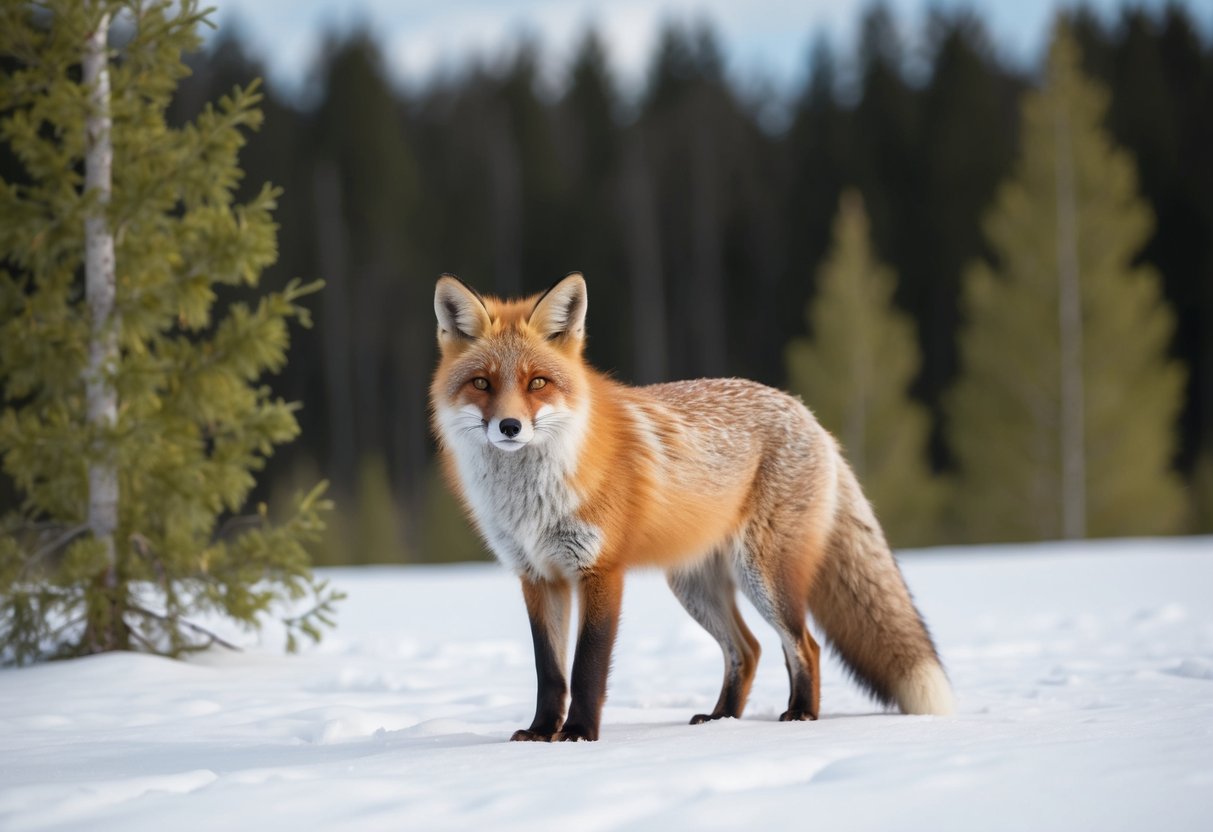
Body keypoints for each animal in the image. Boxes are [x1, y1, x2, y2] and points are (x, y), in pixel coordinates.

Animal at [430, 272, 954, 742]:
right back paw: (721, 719)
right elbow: (550, 672)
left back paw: (801, 714)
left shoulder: (600, 570)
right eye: (482, 383)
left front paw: (578, 734)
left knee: (804, 645)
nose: (510, 427)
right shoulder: (538, 576)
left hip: (763, 575)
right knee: (748, 648)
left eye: (537, 382)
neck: (532, 500)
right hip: (694, 584)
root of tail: (807, 413)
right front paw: (541, 732)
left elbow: (587, 667)